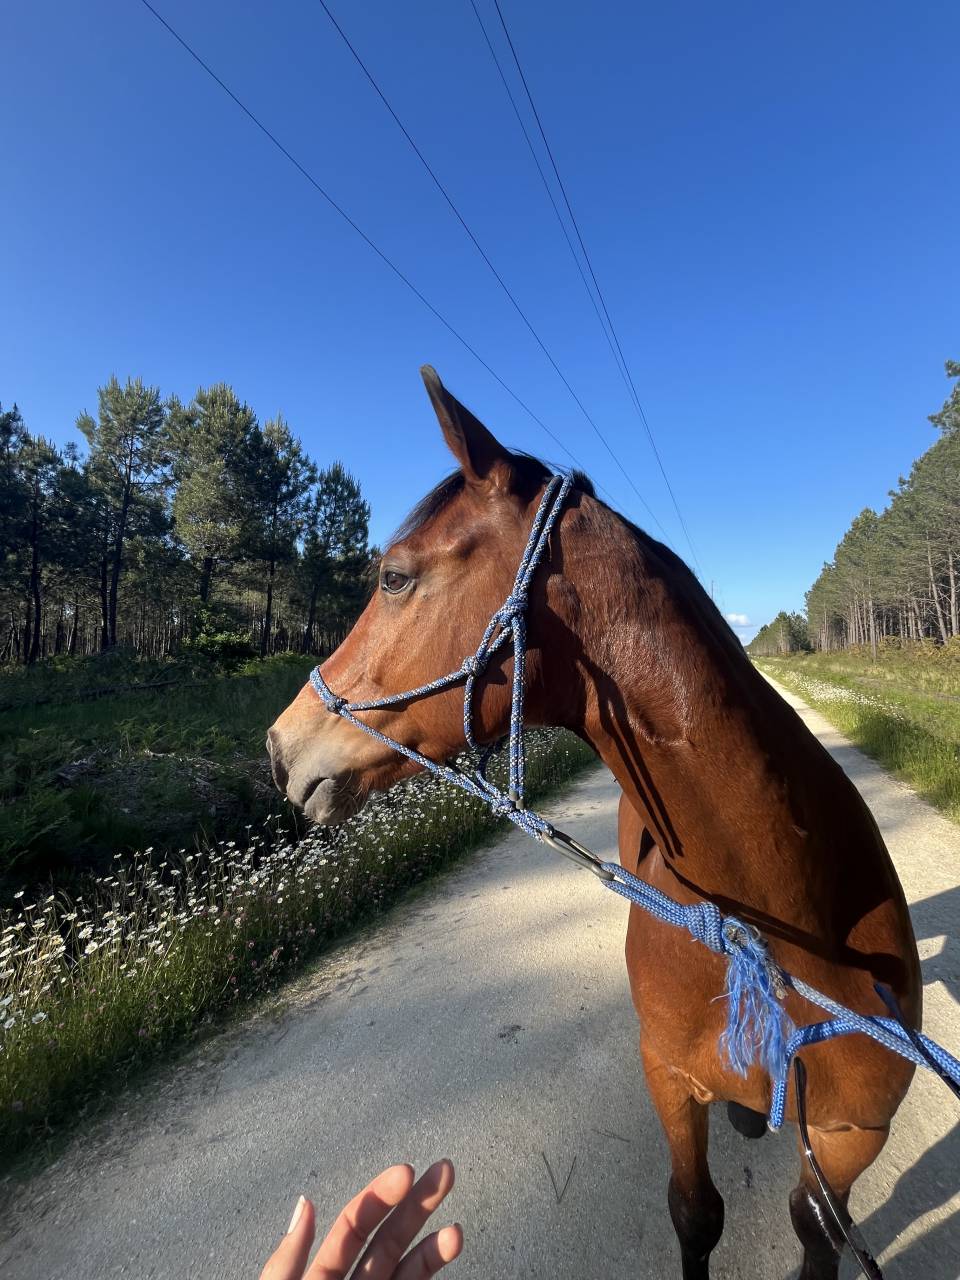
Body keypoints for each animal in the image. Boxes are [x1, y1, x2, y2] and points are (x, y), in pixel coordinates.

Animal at [267, 366, 921, 1279]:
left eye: (393, 577)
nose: (280, 746)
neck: (778, 927)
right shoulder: (669, 1080)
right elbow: (696, 1213)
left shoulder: (853, 1130)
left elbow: (816, 1222)